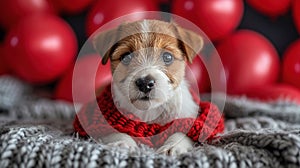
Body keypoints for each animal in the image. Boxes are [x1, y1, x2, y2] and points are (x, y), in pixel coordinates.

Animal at [92, 19, 203, 155]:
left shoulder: (188, 115)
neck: (149, 111)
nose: (145, 83)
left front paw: (173, 146)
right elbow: (117, 131)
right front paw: (123, 144)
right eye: (126, 57)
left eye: (167, 57)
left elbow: (181, 132)